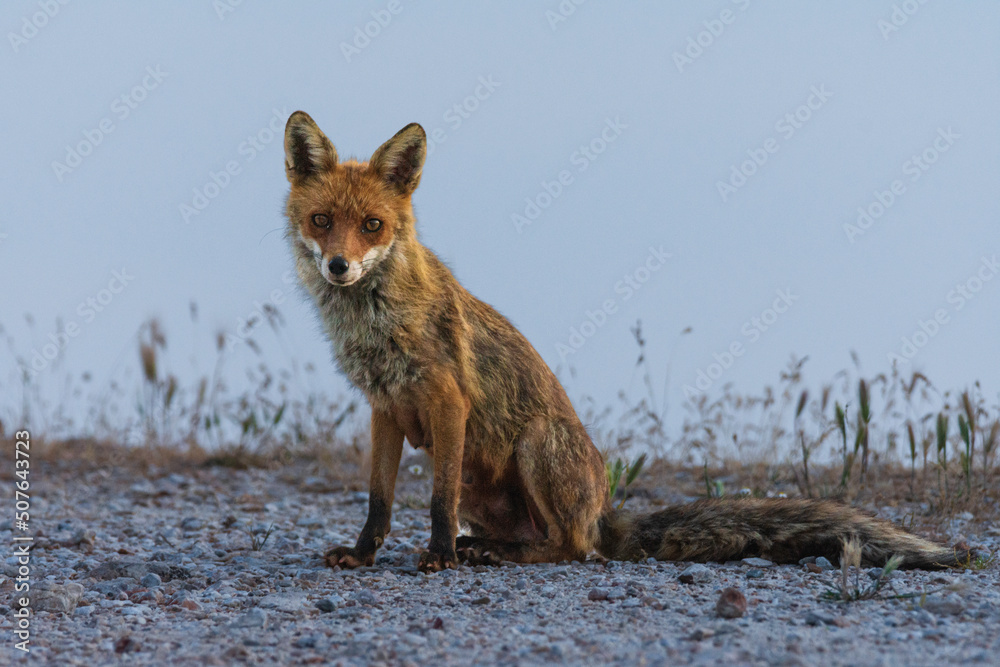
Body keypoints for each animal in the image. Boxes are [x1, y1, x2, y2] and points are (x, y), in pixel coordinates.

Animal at [282, 110, 969, 573]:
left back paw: (491, 555)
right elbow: (379, 500)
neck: (377, 325)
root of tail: (606, 511)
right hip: (493, 484)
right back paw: (490, 548)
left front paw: (439, 557)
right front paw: (363, 555)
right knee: (545, 540)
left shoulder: (449, 404)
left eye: (373, 225)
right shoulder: (385, 408)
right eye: (323, 221)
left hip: (534, 444)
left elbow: (436, 499)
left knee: (572, 549)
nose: (339, 266)